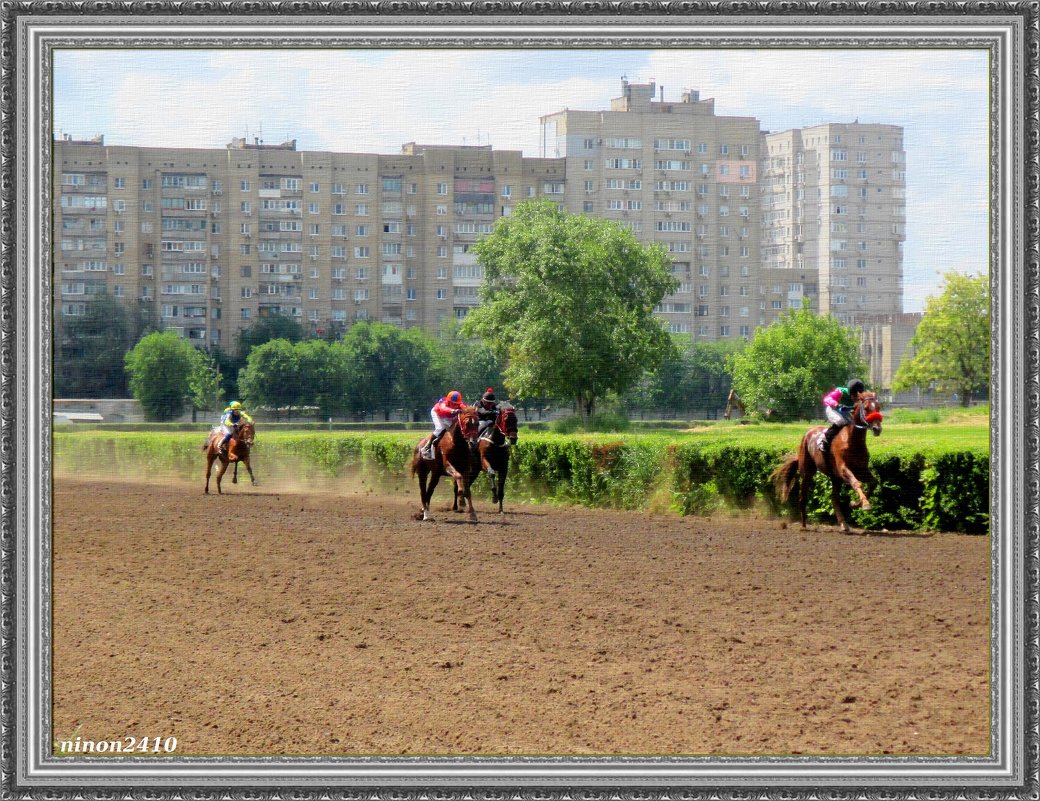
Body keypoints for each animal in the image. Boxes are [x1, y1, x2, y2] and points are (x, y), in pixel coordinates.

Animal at [773, 386, 886, 530]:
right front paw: (865, 504)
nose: (877, 429)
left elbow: (873, 482)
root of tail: (808, 433)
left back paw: (843, 524)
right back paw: (804, 525)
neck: (852, 440)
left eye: (878, 406)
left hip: (835, 477)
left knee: (833, 498)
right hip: (807, 472)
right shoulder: (843, 469)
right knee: (803, 497)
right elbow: (856, 483)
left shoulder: (861, 470)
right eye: (866, 408)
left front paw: (855, 503)